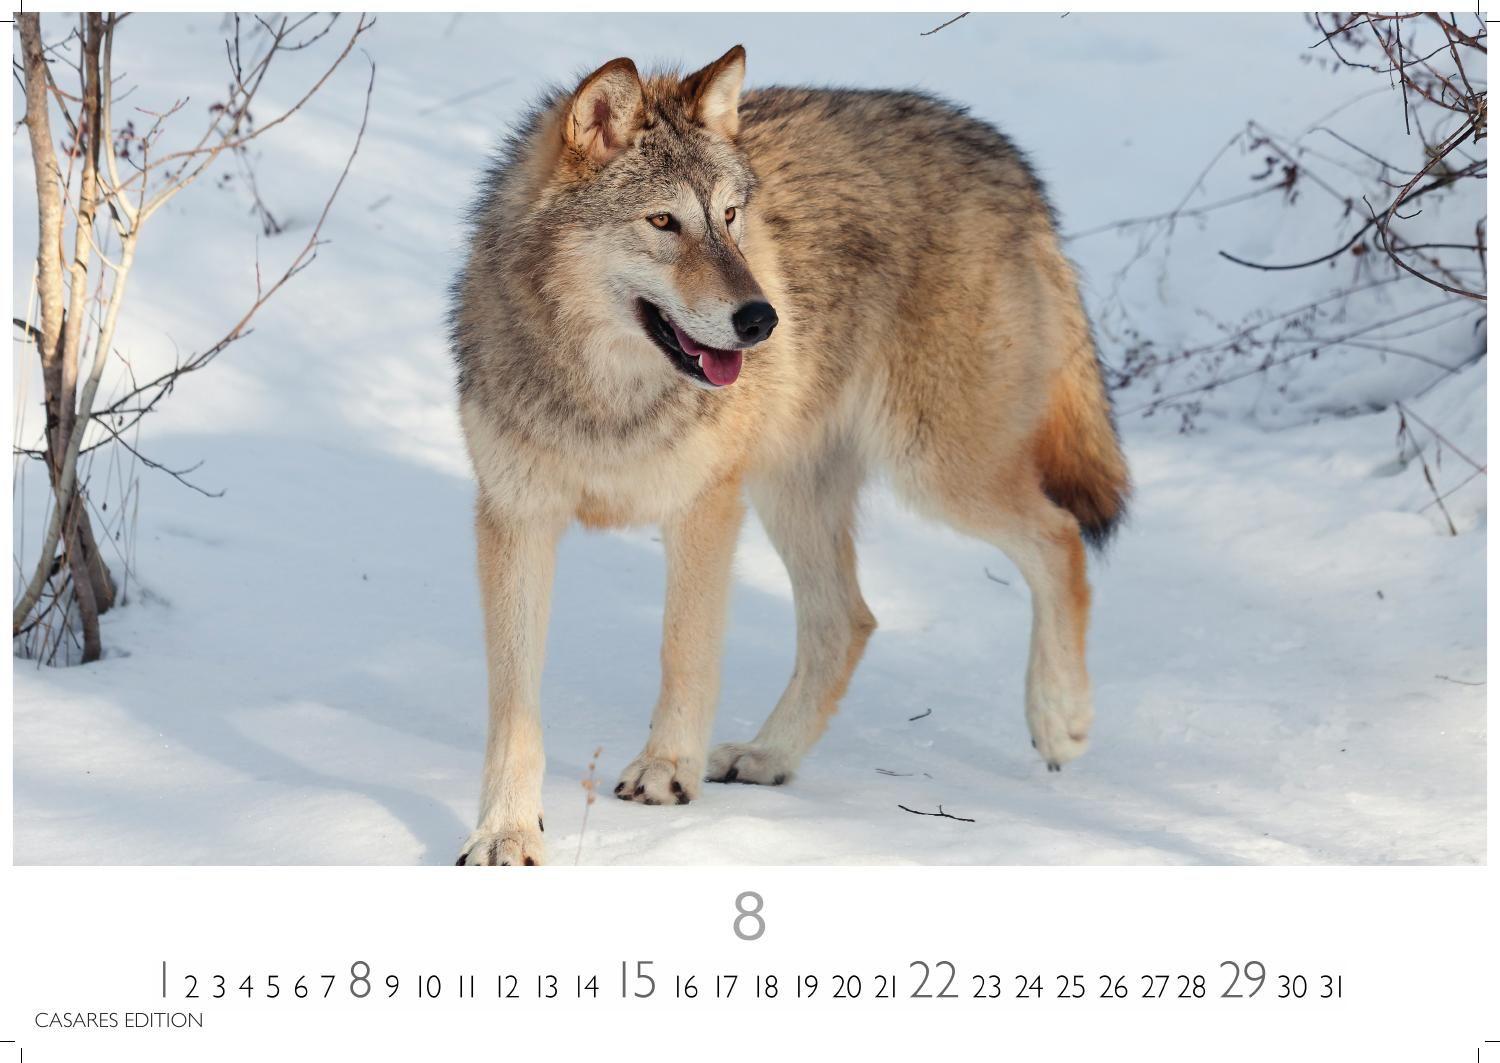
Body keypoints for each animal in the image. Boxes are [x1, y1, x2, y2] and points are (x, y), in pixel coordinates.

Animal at [451, 46, 1129, 865]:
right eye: (663, 221)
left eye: (730, 218)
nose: (762, 319)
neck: (608, 397)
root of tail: (1005, 154)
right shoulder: (515, 520)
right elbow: (514, 706)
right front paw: (506, 831)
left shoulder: (706, 506)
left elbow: (684, 651)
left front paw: (665, 772)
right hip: (797, 491)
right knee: (851, 619)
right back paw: (767, 756)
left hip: (935, 471)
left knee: (1059, 537)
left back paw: (1060, 719)